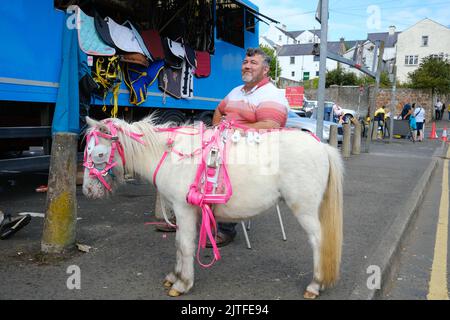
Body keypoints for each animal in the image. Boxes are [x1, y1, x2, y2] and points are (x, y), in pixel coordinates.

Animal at [82, 116, 342, 298]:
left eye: (99, 154)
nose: (87, 191)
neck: (173, 156)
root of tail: (322, 147)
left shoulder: (184, 210)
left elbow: (185, 246)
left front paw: (182, 283)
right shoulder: (181, 212)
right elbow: (179, 244)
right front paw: (174, 276)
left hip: (305, 210)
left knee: (318, 241)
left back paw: (315, 285)